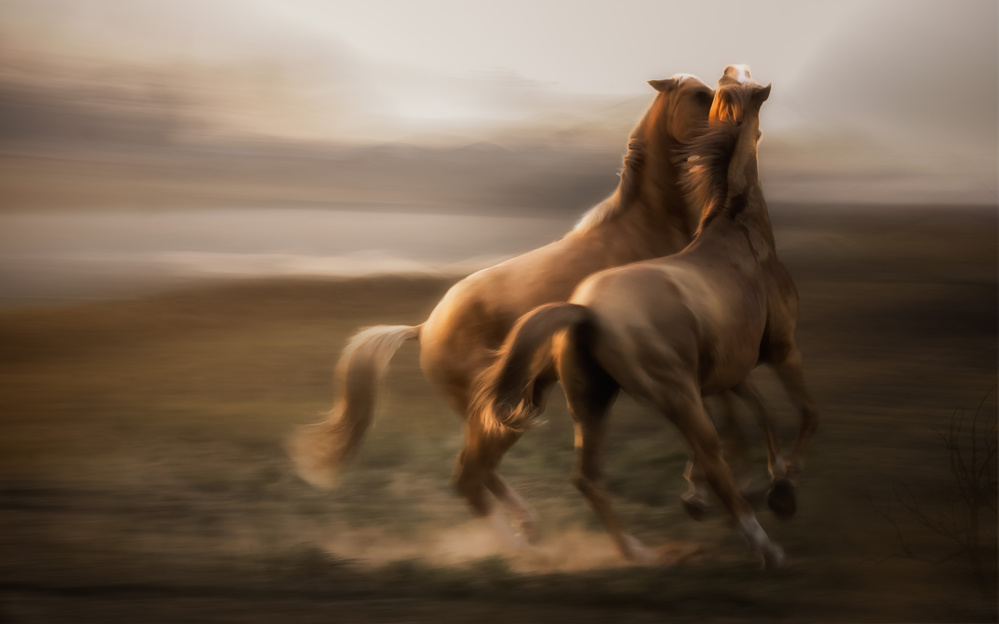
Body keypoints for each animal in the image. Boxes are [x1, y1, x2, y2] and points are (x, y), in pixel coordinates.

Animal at [289, 73, 723, 544]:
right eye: (700, 95)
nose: (731, 119)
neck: (642, 231)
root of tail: (425, 328)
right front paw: (698, 494)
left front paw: (699, 493)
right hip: (496, 416)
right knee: (469, 478)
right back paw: (522, 547)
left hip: (508, 410)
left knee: (481, 474)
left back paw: (529, 529)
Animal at [478, 73, 819, 569]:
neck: (740, 232)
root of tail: (586, 311)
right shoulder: (781, 350)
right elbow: (803, 414)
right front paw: (783, 488)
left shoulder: (727, 374)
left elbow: (760, 414)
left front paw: (751, 482)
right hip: (675, 396)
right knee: (711, 457)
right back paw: (765, 548)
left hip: (595, 403)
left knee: (588, 477)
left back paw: (636, 552)